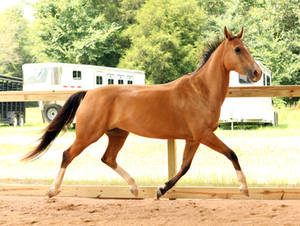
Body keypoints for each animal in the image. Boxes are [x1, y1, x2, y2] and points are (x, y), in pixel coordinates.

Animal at [22, 27, 262, 199]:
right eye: (238, 49)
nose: (257, 72)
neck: (200, 91)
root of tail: (89, 92)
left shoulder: (193, 138)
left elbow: (185, 167)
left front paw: (161, 190)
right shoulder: (204, 134)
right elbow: (231, 154)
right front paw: (244, 188)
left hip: (118, 134)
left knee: (108, 158)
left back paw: (135, 188)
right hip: (88, 134)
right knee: (67, 155)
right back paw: (52, 190)